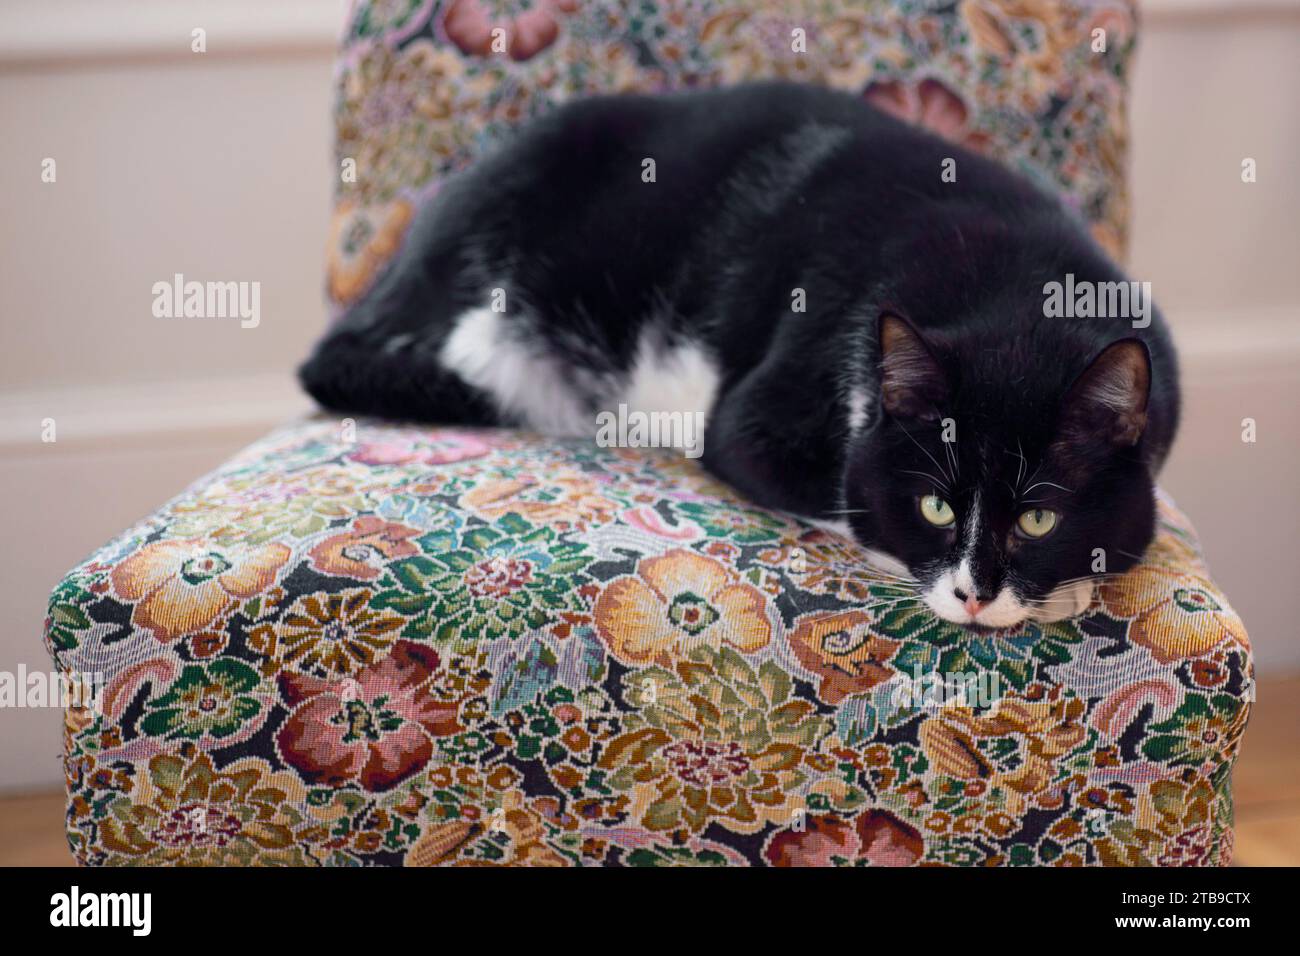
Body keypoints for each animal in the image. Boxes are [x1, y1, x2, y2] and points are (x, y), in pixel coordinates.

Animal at [301, 83, 1180, 634]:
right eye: (936, 506)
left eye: (1037, 518)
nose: (975, 594)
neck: (1016, 295)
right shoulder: (763, 411)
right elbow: (840, 490)